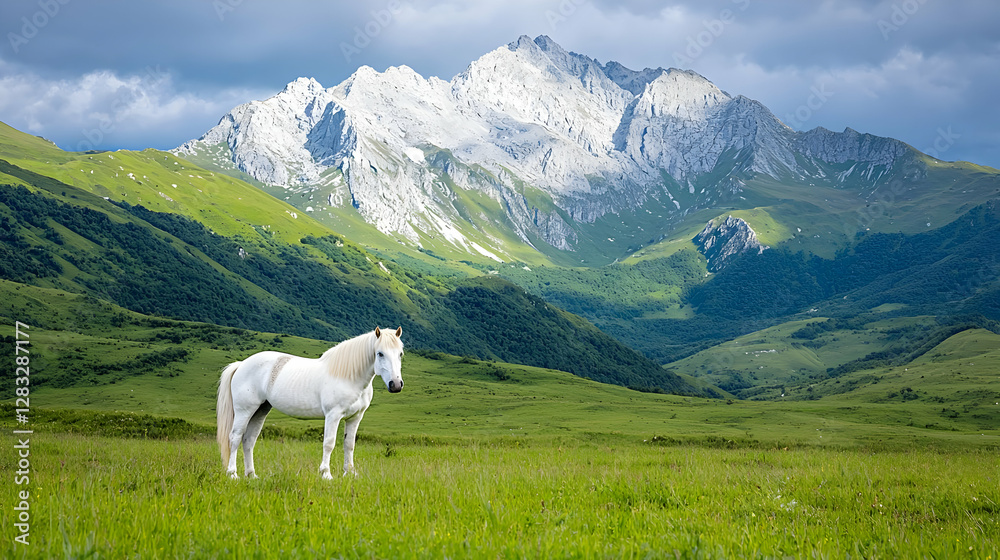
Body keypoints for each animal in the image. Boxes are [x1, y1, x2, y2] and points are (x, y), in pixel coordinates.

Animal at [216, 326, 404, 479]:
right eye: (380, 353)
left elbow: (349, 444)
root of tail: (241, 364)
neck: (348, 376)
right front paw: (326, 474)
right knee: (235, 437)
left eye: (400, 354)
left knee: (249, 440)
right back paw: (232, 474)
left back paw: (252, 475)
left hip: (260, 410)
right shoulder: (333, 415)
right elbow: (329, 443)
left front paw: (350, 473)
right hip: (244, 411)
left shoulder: (355, 417)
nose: (395, 384)